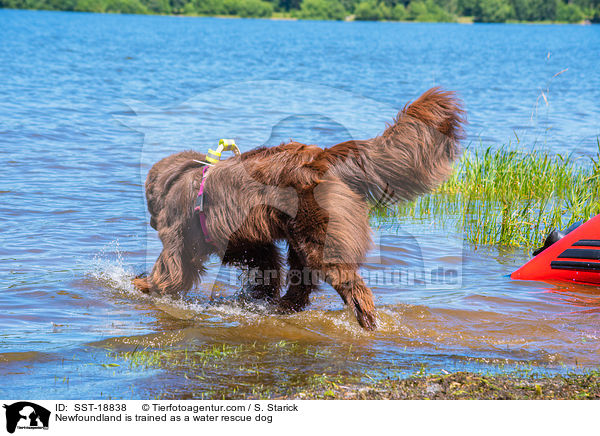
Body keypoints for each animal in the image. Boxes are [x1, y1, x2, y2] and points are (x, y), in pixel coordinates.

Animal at [134, 87, 466, 328]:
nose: (150, 222)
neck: (179, 178)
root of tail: (322, 157)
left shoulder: (180, 237)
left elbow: (171, 268)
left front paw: (144, 284)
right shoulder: (250, 240)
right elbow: (265, 266)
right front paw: (258, 297)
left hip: (318, 234)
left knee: (349, 283)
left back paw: (366, 321)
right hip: (300, 237)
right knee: (301, 280)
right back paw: (283, 307)